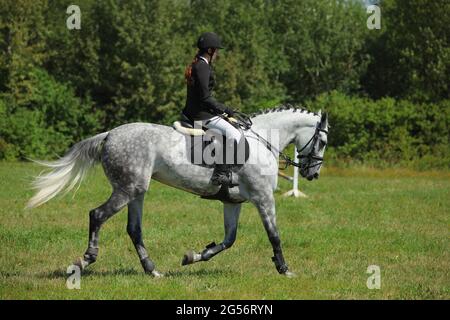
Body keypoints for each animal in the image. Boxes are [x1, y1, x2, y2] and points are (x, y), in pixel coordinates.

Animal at [26, 105, 328, 278]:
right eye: (323, 141)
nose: (313, 174)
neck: (262, 139)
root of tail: (110, 134)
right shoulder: (263, 198)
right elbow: (274, 235)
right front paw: (285, 270)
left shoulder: (234, 202)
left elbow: (228, 240)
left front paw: (194, 256)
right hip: (127, 189)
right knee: (97, 215)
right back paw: (86, 260)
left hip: (137, 192)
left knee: (134, 229)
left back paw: (153, 271)